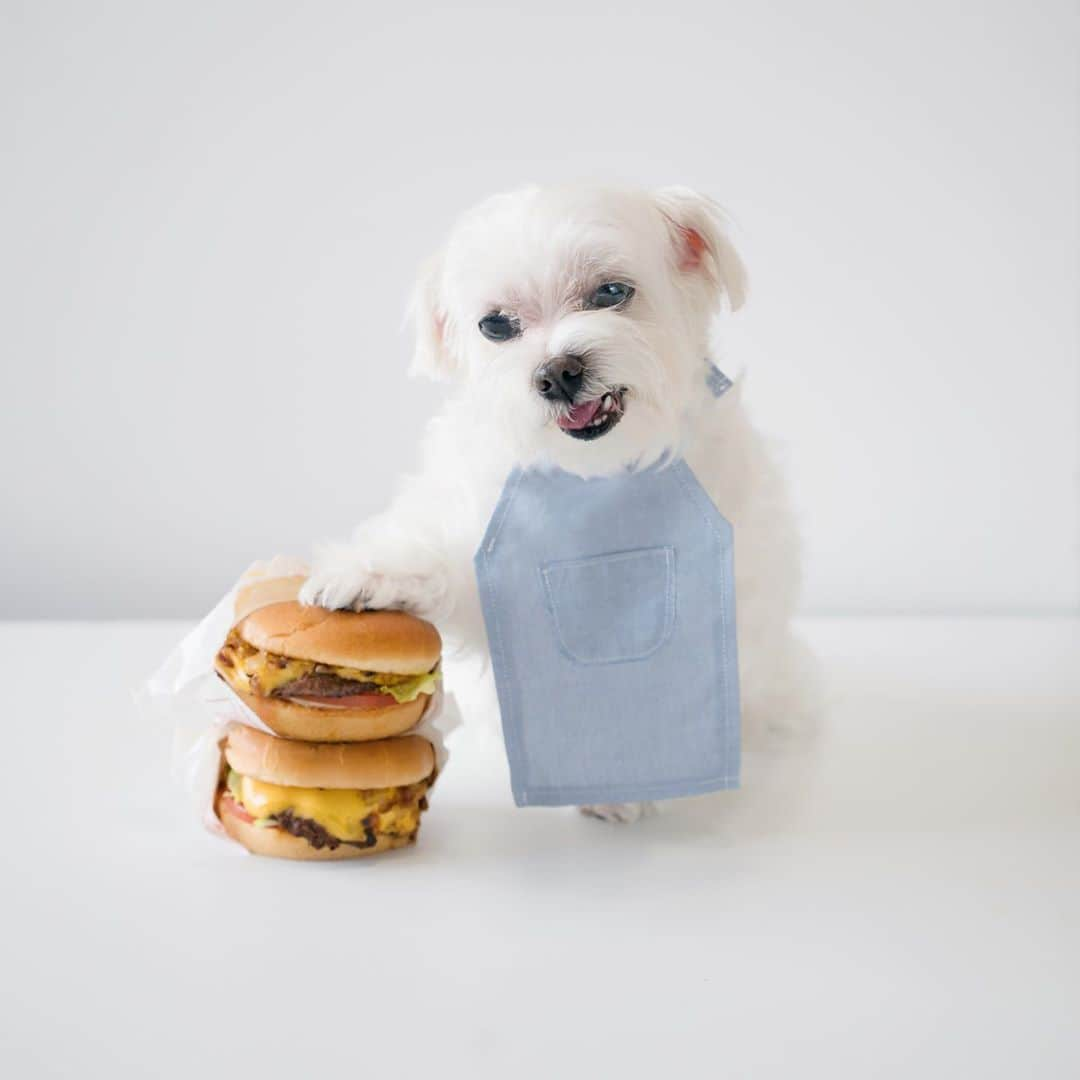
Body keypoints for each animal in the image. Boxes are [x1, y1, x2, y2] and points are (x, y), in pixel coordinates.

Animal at [300, 185, 812, 820]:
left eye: (612, 292)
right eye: (496, 325)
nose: (558, 372)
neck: (595, 474)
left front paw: (624, 789)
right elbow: (439, 556)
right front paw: (366, 575)